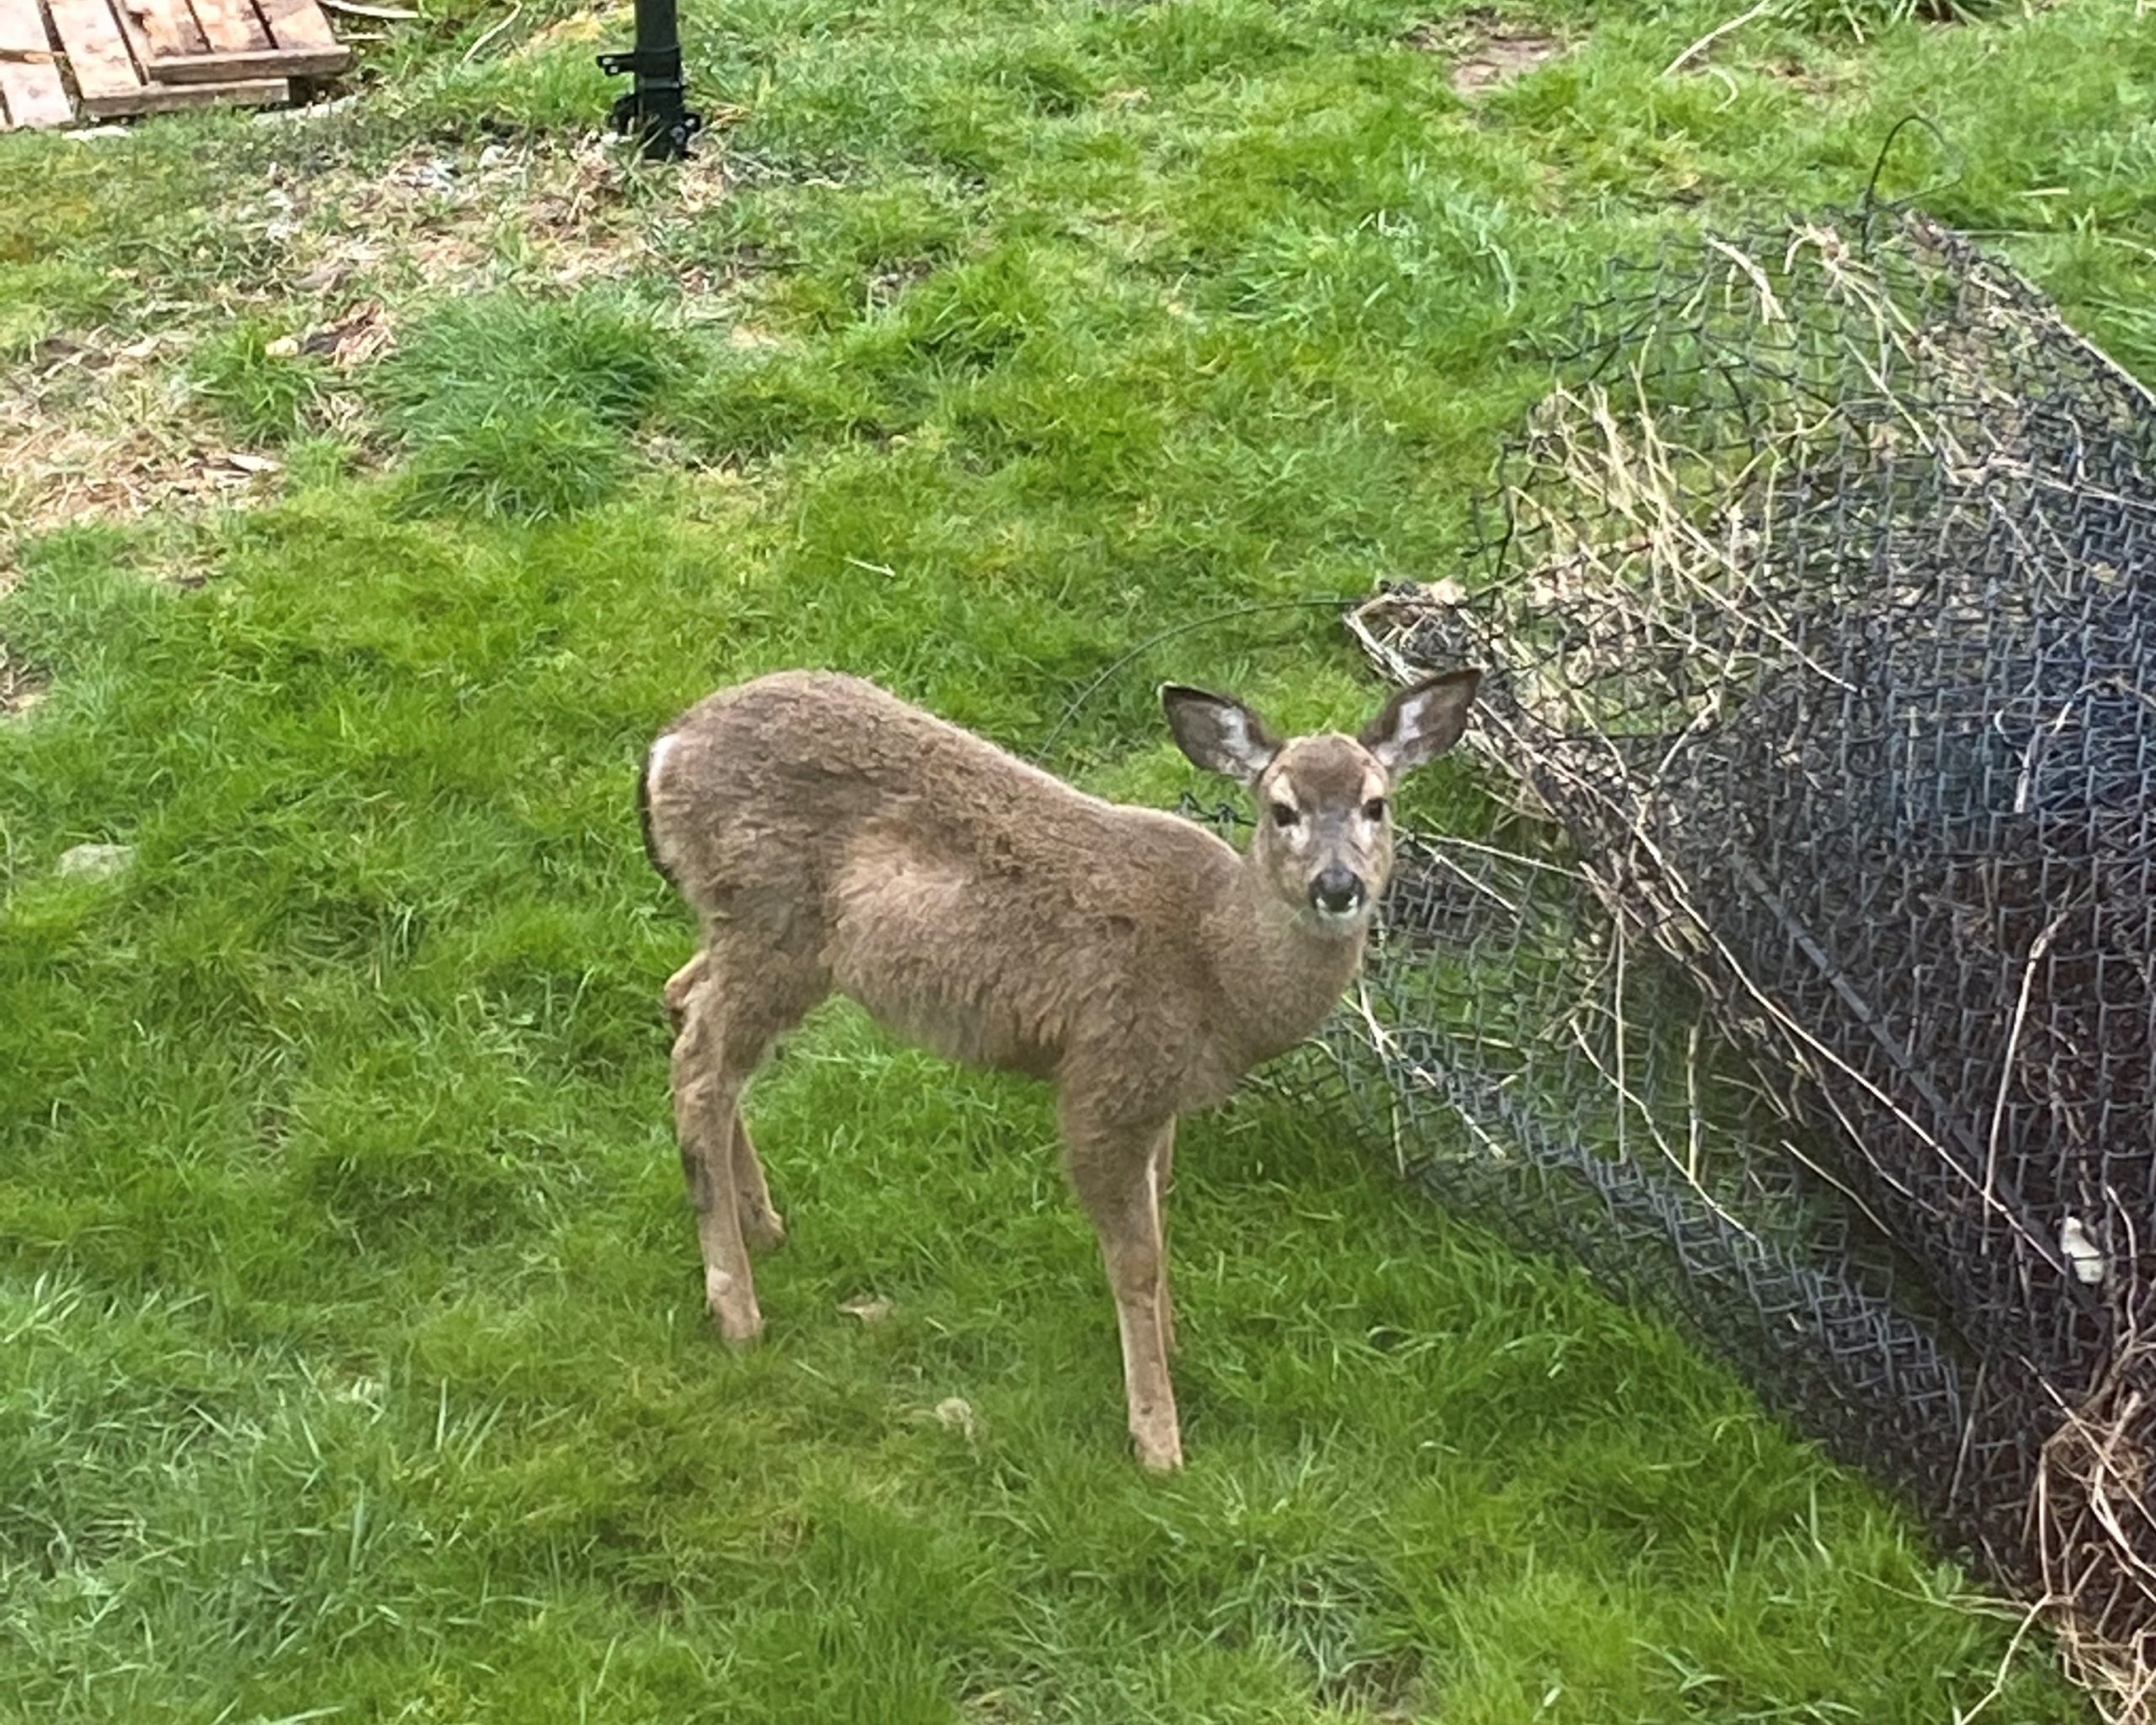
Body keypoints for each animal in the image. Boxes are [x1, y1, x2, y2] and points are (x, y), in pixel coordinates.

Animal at [638, 668, 1483, 1475]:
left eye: (1376, 803)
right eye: (1281, 809)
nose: (1337, 886)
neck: (1217, 971)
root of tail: (667, 747)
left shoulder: (1160, 1102)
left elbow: (1160, 1217)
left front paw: (1172, 1348)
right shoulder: (1106, 1079)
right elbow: (1135, 1261)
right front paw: (1157, 1439)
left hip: (762, 940)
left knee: (686, 1001)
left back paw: (763, 1224)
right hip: (771, 923)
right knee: (703, 1066)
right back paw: (737, 1308)